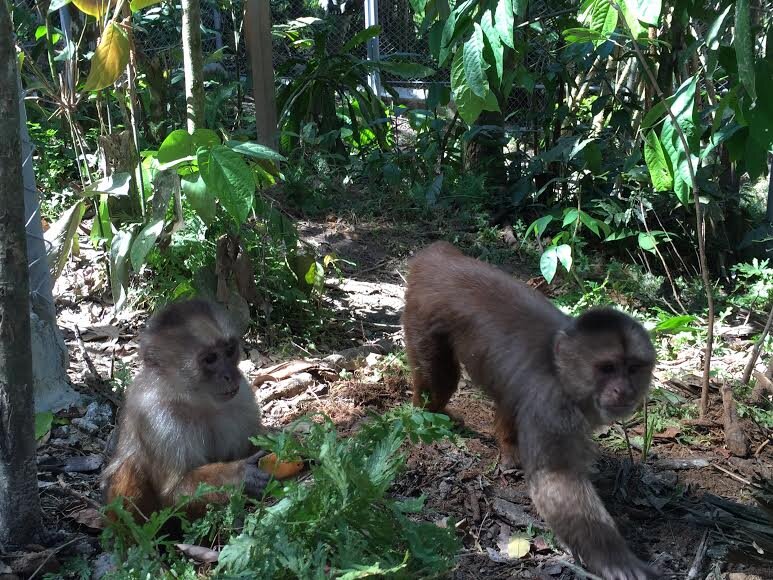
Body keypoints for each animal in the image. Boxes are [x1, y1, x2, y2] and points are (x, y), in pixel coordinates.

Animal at [102, 299, 272, 522]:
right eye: (210, 359)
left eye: (229, 351)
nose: (230, 375)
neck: (197, 403)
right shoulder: (158, 418)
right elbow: (173, 492)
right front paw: (241, 475)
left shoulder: (242, 395)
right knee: (129, 468)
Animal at [402, 242, 657, 580]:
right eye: (607, 369)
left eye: (632, 369)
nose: (624, 390)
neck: (562, 372)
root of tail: (438, 255)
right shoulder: (553, 407)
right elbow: (557, 483)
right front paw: (614, 559)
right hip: (423, 311)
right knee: (438, 380)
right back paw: (429, 414)